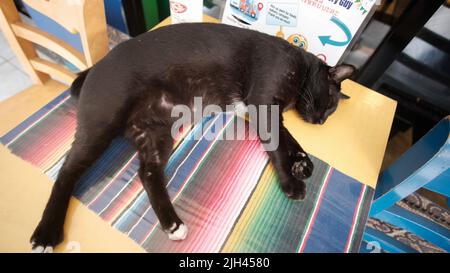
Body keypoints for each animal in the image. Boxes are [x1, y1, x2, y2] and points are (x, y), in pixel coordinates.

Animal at [30, 22, 356, 251]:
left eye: (330, 112)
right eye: (330, 103)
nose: (321, 121)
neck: (301, 66)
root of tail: (93, 67)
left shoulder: (270, 111)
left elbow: (287, 136)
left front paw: (302, 160)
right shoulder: (263, 105)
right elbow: (277, 143)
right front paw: (292, 182)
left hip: (154, 132)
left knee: (147, 173)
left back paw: (173, 224)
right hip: (101, 124)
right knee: (67, 170)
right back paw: (46, 232)